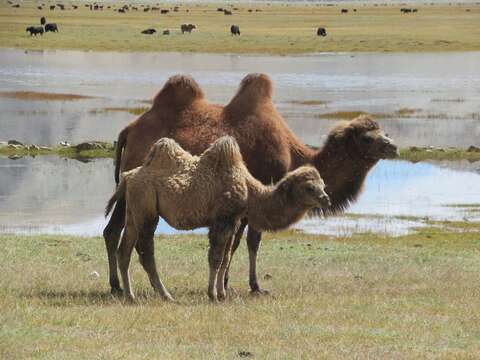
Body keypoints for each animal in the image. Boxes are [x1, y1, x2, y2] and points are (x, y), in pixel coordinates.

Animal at [103, 73, 400, 296]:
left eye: (384, 131)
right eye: (366, 138)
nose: (394, 147)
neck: (292, 154)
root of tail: (130, 129)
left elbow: (237, 243)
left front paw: (228, 284)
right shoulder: (258, 190)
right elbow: (250, 241)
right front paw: (249, 286)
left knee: (112, 230)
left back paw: (117, 286)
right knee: (114, 230)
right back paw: (117, 287)